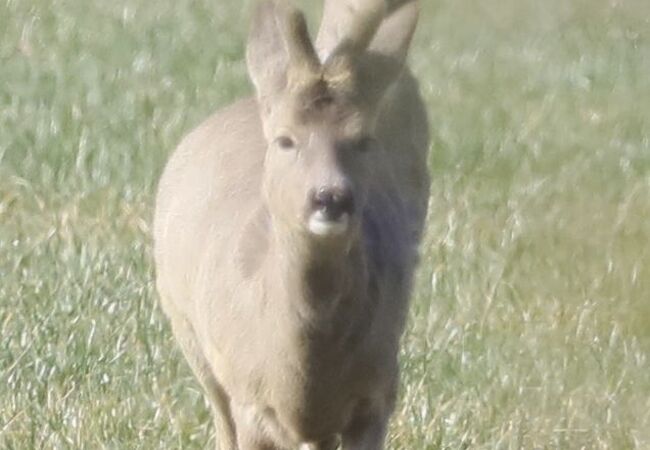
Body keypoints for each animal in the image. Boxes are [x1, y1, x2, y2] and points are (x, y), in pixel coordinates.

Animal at [153, 0, 430, 448]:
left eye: (363, 139)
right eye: (285, 139)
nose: (331, 197)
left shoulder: (378, 390)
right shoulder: (249, 396)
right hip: (189, 331)